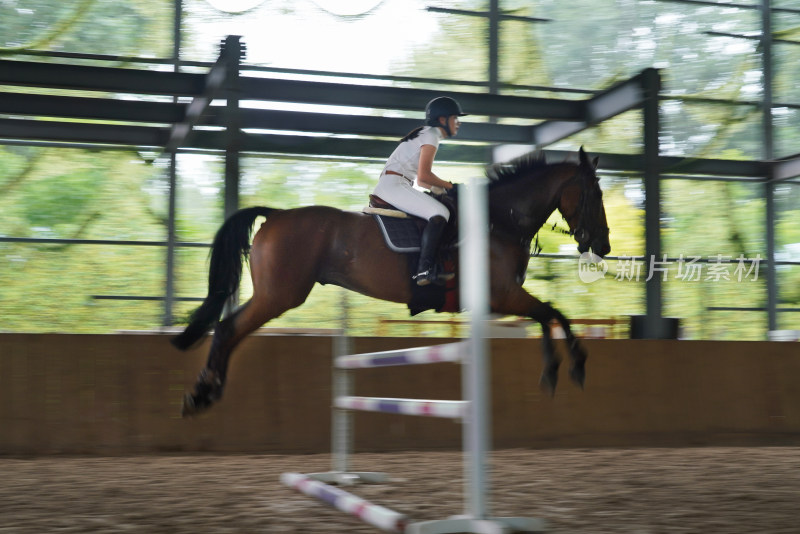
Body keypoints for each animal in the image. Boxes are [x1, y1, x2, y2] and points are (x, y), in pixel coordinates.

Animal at [175, 148, 608, 418]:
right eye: (594, 193)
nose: (603, 245)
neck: (498, 221)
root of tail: (276, 214)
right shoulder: (502, 296)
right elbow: (553, 314)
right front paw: (571, 367)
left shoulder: (501, 301)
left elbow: (548, 317)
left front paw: (557, 371)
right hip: (279, 295)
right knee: (228, 328)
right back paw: (202, 392)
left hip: (276, 295)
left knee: (229, 329)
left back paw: (205, 393)